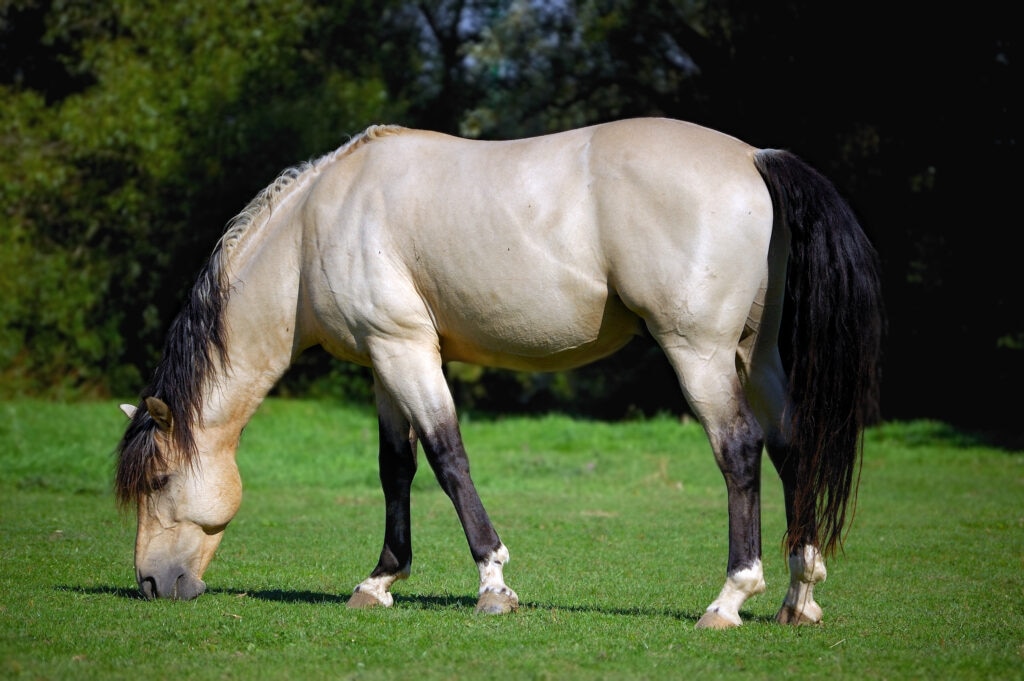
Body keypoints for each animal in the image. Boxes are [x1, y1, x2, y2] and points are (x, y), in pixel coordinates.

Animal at [115, 117, 883, 629]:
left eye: (158, 480)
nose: (152, 583)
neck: (314, 228)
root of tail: (755, 157)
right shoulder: (384, 362)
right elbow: (397, 467)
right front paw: (380, 579)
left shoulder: (406, 350)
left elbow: (448, 458)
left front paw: (492, 583)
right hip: (754, 353)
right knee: (791, 445)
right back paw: (799, 594)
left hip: (699, 351)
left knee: (741, 451)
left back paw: (730, 598)